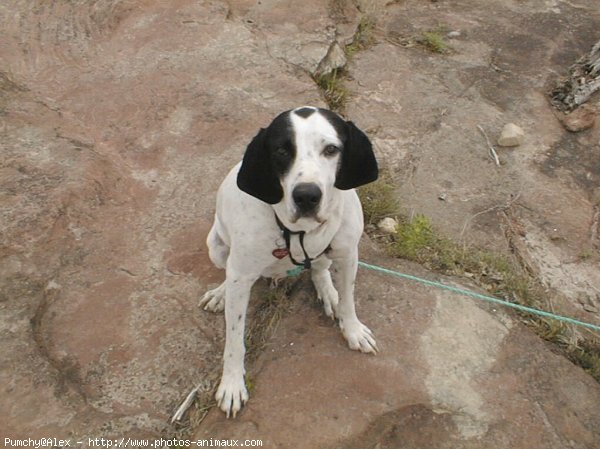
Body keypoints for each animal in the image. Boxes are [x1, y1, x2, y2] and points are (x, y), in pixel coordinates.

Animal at [202, 105, 380, 416]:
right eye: (282, 151)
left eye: (331, 149)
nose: (307, 196)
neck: (299, 232)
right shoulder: (241, 274)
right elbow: (234, 338)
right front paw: (232, 383)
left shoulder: (348, 254)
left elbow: (349, 300)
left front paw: (353, 329)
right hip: (217, 246)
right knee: (228, 273)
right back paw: (221, 293)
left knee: (319, 269)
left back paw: (327, 291)